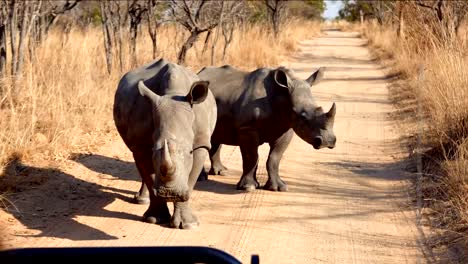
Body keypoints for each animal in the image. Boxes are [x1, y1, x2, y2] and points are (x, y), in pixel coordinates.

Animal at [114, 58, 217, 228]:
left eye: (190, 151)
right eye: (155, 149)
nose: (170, 193)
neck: (172, 94)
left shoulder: (201, 143)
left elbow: (190, 180)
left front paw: (188, 225)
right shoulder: (141, 144)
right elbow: (150, 177)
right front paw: (154, 219)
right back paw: (141, 200)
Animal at [198, 64, 336, 192]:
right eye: (303, 117)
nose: (327, 141)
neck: (282, 96)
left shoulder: (286, 129)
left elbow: (274, 158)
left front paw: (279, 188)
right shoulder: (247, 128)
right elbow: (251, 157)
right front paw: (248, 187)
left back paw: (222, 172)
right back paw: (202, 179)